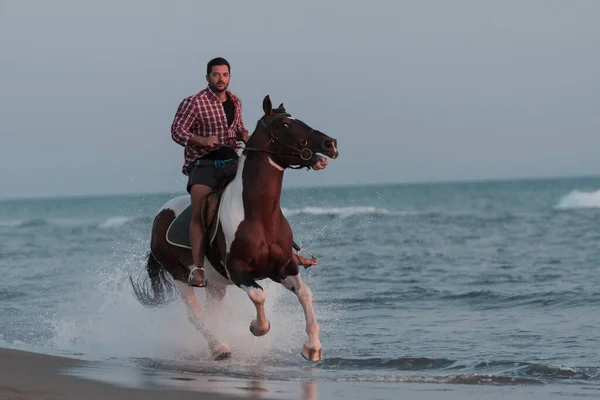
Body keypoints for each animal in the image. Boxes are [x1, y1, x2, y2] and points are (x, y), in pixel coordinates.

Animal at [128, 95, 338, 360]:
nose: (330, 144)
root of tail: (160, 216)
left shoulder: (285, 267)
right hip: (180, 276)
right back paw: (220, 348)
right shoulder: (238, 270)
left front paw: (312, 347)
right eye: (286, 125)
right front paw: (256, 327)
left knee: (211, 313)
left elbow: (304, 293)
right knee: (195, 314)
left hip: (216, 284)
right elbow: (259, 295)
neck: (259, 215)